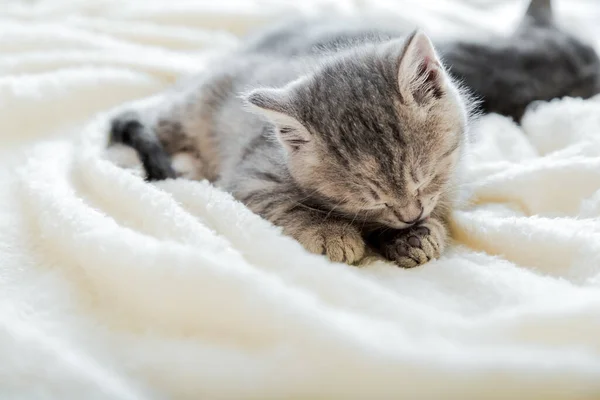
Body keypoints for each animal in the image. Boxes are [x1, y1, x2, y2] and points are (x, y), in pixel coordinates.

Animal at [108, 0, 600, 268]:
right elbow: (286, 204)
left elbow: (438, 211)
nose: (409, 215)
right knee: (130, 123)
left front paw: (418, 236)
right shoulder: (251, 177)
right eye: (370, 195)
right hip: (188, 112)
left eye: (424, 176)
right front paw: (334, 233)